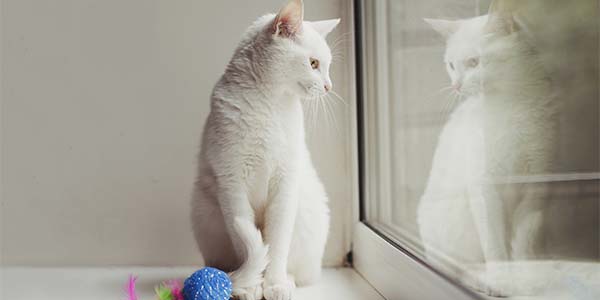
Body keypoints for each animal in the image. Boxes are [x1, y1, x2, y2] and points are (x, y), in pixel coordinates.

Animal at [190, 0, 338, 300]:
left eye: (326, 66)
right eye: (313, 63)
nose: (329, 86)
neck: (269, 105)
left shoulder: (285, 184)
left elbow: (277, 243)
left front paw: (275, 284)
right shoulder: (231, 187)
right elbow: (245, 245)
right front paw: (250, 285)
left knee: (297, 268)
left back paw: (287, 281)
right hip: (205, 212)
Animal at [418, 10, 556, 296]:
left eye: (474, 62)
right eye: (451, 65)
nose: (456, 85)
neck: (511, 105)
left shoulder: (537, 182)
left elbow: (526, 237)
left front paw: (529, 278)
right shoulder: (484, 185)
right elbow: (493, 242)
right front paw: (501, 281)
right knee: (457, 269)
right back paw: (479, 279)